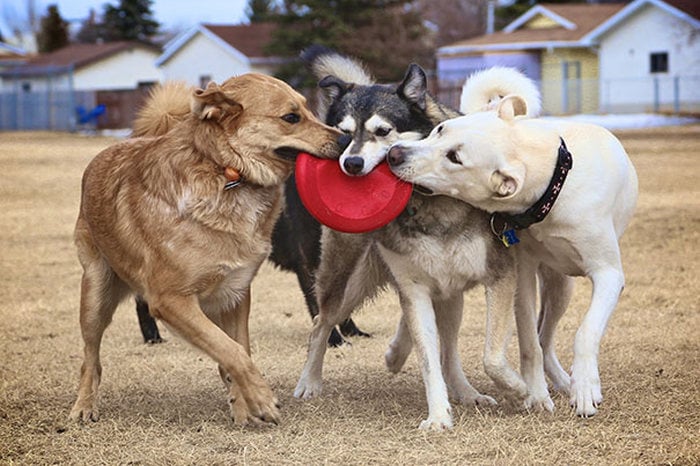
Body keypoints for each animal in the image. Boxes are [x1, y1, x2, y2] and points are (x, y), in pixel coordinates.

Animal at [68, 73, 348, 426]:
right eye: (291, 117)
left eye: (308, 109)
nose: (346, 141)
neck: (225, 171)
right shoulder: (170, 300)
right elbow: (233, 351)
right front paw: (261, 399)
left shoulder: (235, 294)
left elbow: (236, 349)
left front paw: (245, 406)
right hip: (96, 296)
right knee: (90, 358)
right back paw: (84, 406)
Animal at [388, 93, 640, 416]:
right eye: (440, 129)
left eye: (455, 158)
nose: (395, 154)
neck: (555, 183)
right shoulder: (523, 273)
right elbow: (529, 342)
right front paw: (536, 393)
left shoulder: (609, 274)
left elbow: (585, 332)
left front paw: (584, 388)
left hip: (561, 289)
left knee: (547, 336)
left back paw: (566, 381)